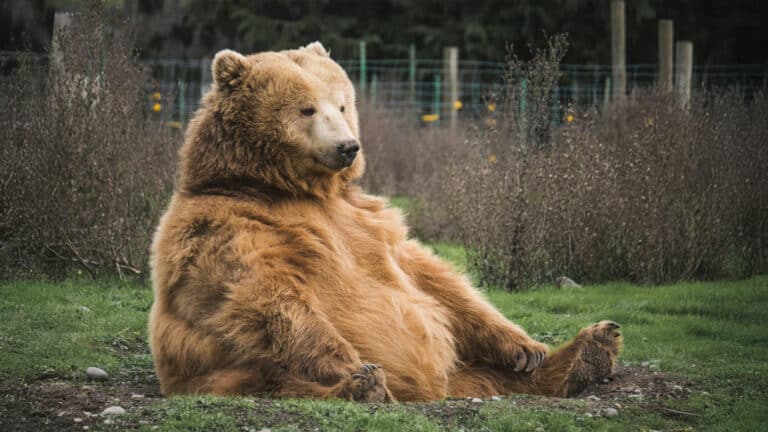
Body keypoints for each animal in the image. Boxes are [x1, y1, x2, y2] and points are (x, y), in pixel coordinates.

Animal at [148, 42, 622, 402]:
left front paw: (525, 347)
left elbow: (433, 278)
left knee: (492, 373)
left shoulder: (367, 221)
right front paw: (352, 366)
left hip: (465, 368)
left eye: (342, 104)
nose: (347, 146)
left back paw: (588, 351)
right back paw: (363, 386)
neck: (289, 188)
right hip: (225, 371)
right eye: (306, 109)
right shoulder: (227, 226)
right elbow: (263, 294)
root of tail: (435, 389)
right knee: (277, 378)